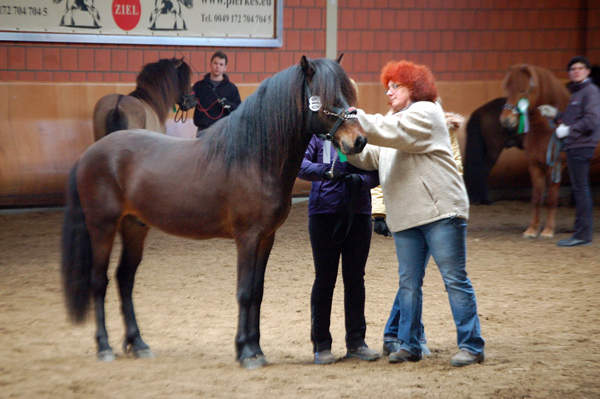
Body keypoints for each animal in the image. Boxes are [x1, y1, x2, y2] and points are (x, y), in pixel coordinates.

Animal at [61, 55, 366, 368]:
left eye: (348, 95)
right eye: (328, 98)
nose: (358, 141)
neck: (253, 157)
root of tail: (90, 153)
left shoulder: (266, 238)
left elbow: (257, 292)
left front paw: (256, 349)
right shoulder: (247, 238)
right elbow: (244, 292)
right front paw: (246, 352)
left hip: (134, 226)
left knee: (125, 278)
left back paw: (139, 344)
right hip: (102, 227)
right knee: (99, 281)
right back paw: (104, 347)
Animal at [500, 63, 568, 238]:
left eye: (523, 90)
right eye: (507, 89)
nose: (506, 120)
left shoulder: (555, 166)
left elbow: (551, 198)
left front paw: (548, 230)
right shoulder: (535, 165)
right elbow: (537, 197)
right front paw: (532, 229)